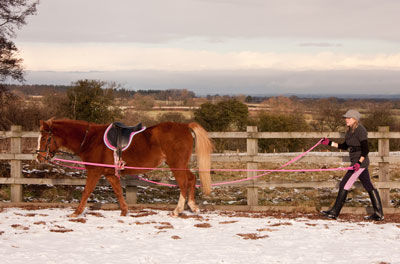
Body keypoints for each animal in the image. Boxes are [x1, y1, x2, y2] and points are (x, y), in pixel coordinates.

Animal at [36, 119, 212, 217]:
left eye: (44, 138)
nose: (39, 157)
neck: (90, 140)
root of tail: (185, 126)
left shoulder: (94, 172)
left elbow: (86, 192)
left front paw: (76, 213)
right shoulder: (110, 174)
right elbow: (119, 191)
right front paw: (124, 211)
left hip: (177, 165)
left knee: (183, 183)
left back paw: (178, 210)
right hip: (179, 165)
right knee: (192, 179)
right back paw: (193, 206)